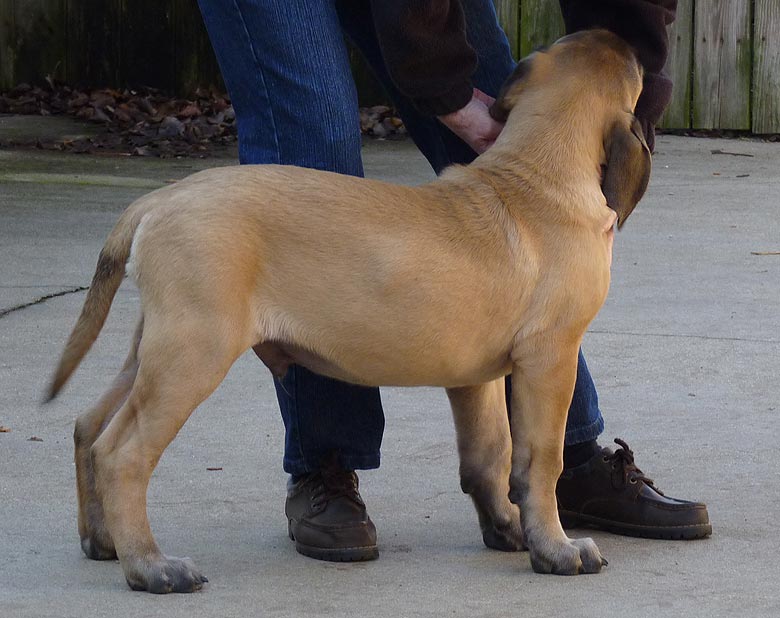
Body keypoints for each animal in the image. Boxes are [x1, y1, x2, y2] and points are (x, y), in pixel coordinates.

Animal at [44, 30, 652, 592]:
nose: (625, 37)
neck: (533, 172)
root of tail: (156, 200)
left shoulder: (475, 376)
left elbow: (489, 456)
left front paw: (507, 527)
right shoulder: (551, 359)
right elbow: (539, 461)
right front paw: (556, 548)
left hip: (158, 346)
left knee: (89, 427)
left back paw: (103, 541)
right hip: (194, 352)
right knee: (122, 453)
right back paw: (151, 566)